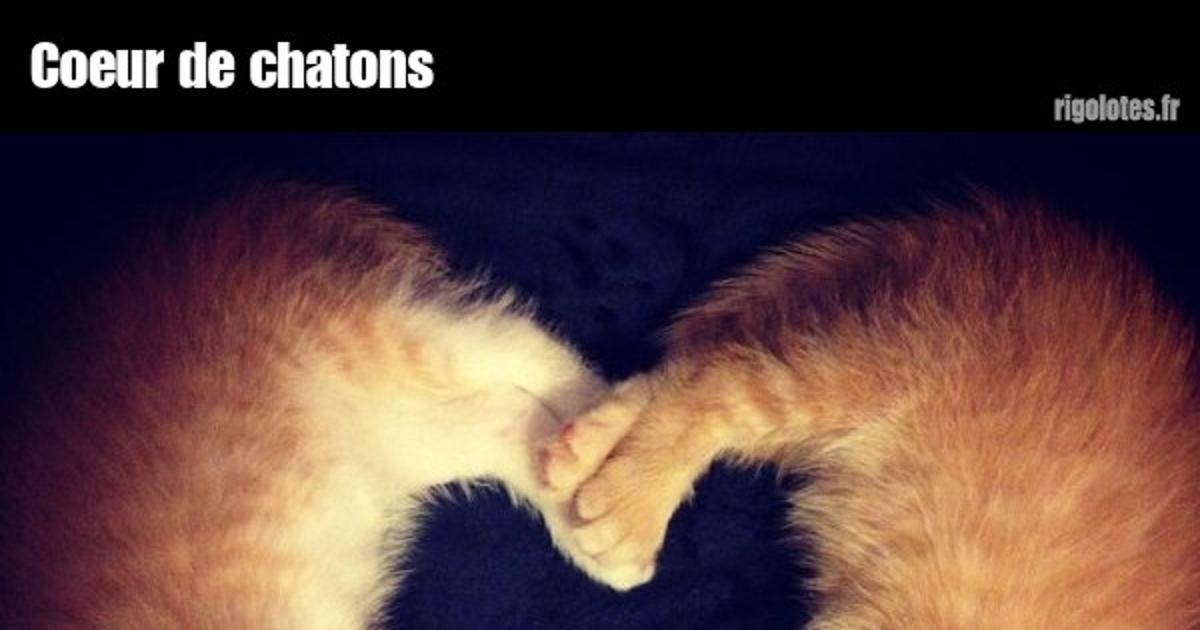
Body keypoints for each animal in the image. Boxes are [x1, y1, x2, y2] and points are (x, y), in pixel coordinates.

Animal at [0, 184, 613, 629]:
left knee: (529, 348)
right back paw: (585, 510)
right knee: (504, 420)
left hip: (366, 331)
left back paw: (605, 441)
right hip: (391, 433)